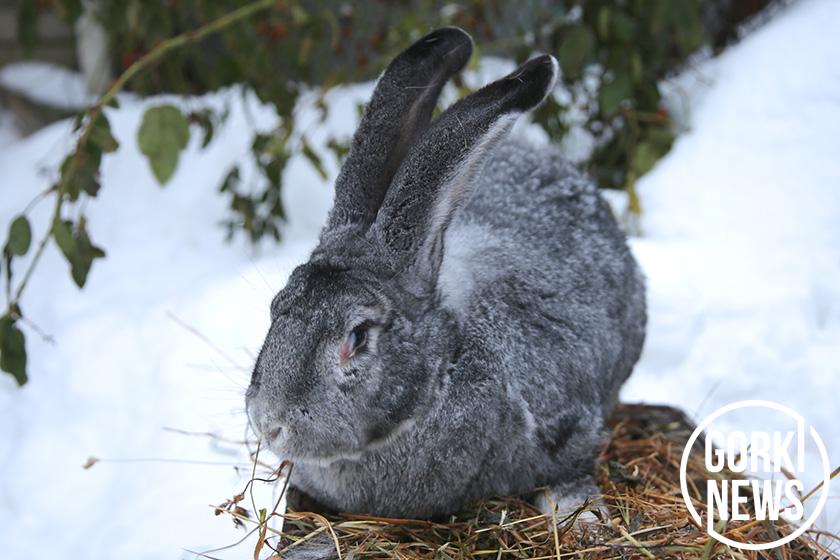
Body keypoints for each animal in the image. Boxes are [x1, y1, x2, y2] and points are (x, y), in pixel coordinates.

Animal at [246, 26, 648, 524]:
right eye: (276, 308)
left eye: (357, 336)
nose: (269, 423)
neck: (446, 368)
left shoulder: (569, 421)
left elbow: (569, 475)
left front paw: (584, 515)